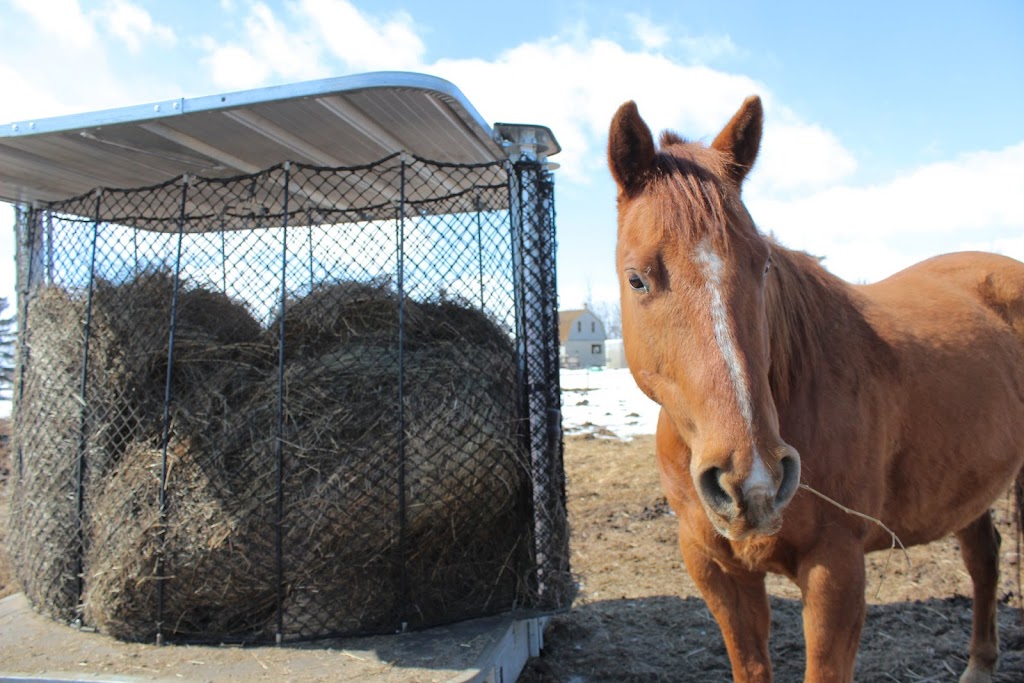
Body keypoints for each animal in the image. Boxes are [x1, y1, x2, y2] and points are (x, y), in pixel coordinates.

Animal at [606, 97, 1024, 683]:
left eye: (762, 264)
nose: (753, 479)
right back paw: (981, 664)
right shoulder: (718, 571)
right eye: (637, 278)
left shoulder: (836, 570)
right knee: (983, 558)